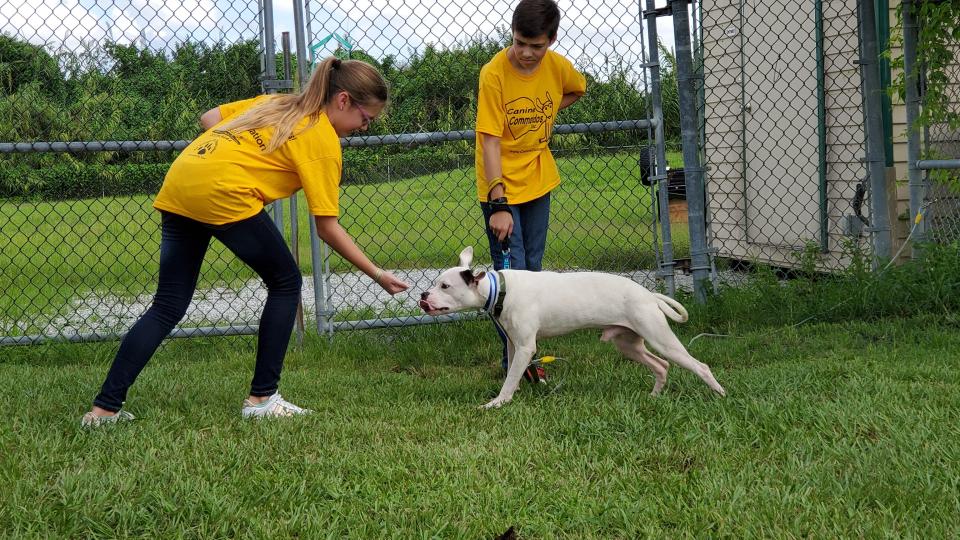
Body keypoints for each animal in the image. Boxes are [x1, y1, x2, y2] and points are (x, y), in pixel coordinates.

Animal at [420, 247, 728, 408]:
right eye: (436, 283)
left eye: (445, 286)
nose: (423, 295)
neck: (499, 289)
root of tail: (648, 294)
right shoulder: (514, 344)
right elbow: (512, 374)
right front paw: (511, 393)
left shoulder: (526, 347)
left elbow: (509, 380)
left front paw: (498, 402)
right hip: (629, 345)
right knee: (661, 366)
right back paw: (653, 396)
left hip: (661, 338)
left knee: (699, 366)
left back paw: (719, 394)